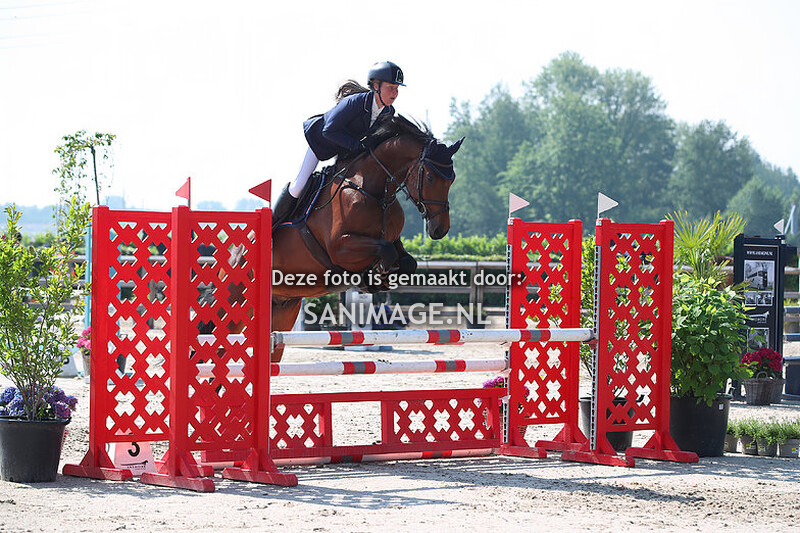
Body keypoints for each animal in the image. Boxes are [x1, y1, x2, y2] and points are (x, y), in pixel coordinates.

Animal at [270, 115, 464, 361]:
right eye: (429, 177)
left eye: (452, 180)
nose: (440, 230)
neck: (374, 192)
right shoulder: (341, 247)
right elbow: (385, 250)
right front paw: (373, 278)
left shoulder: (394, 241)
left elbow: (407, 261)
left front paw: (379, 279)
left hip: (284, 306)